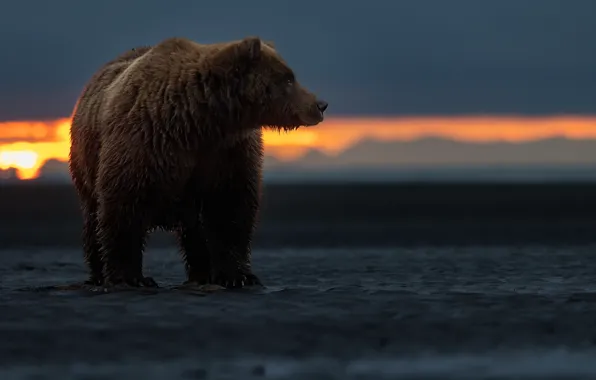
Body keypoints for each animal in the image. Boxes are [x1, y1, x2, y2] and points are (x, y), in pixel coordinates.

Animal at [71, 37, 330, 288]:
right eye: (288, 78)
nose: (320, 105)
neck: (200, 123)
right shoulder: (145, 141)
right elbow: (124, 205)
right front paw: (132, 277)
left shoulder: (226, 153)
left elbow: (229, 208)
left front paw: (238, 276)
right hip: (86, 162)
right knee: (93, 217)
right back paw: (97, 273)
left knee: (195, 230)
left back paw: (201, 274)